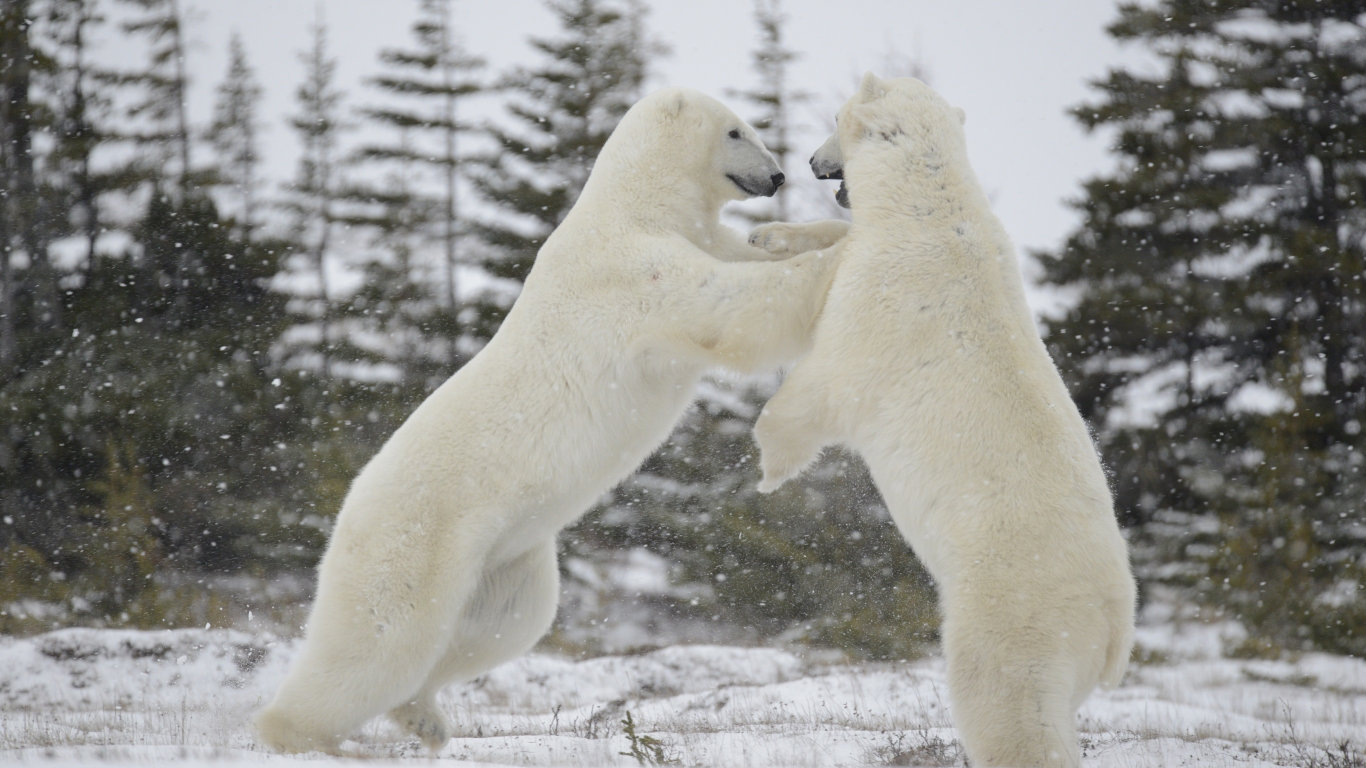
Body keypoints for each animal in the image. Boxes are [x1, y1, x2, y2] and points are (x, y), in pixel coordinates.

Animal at [251, 86, 835, 748]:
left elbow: (743, 264)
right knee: (379, 639)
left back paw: (422, 715)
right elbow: (732, 306)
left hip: (507, 559)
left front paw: (804, 234)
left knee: (500, 627)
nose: (778, 175)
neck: (639, 205)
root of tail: (348, 506)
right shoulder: (631, 270)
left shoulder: (697, 237)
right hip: (416, 539)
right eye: (737, 131)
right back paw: (295, 733)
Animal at [754, 74, 1136, 765]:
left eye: (834, 119)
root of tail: (1116, 625)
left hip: (1013, 613)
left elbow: (822, 386)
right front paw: (766, 237)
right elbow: (839, 242)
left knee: (1004, 708)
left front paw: (767, 471)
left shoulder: (887, 302)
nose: (813, 161)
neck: (927, 207)